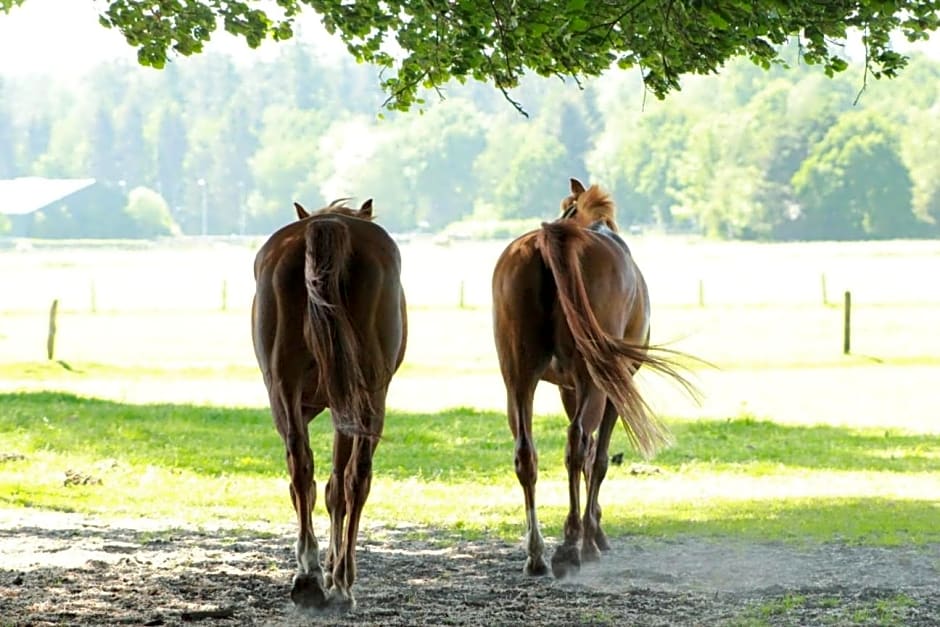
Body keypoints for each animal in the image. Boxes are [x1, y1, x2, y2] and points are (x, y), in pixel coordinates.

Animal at [250, 197, 408, 608]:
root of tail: (327, 226)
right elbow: (337, 487)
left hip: (286, 388)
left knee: (302, 468)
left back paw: (310, 575)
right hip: (370, 396)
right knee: (356, 477)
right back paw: (341, 579)